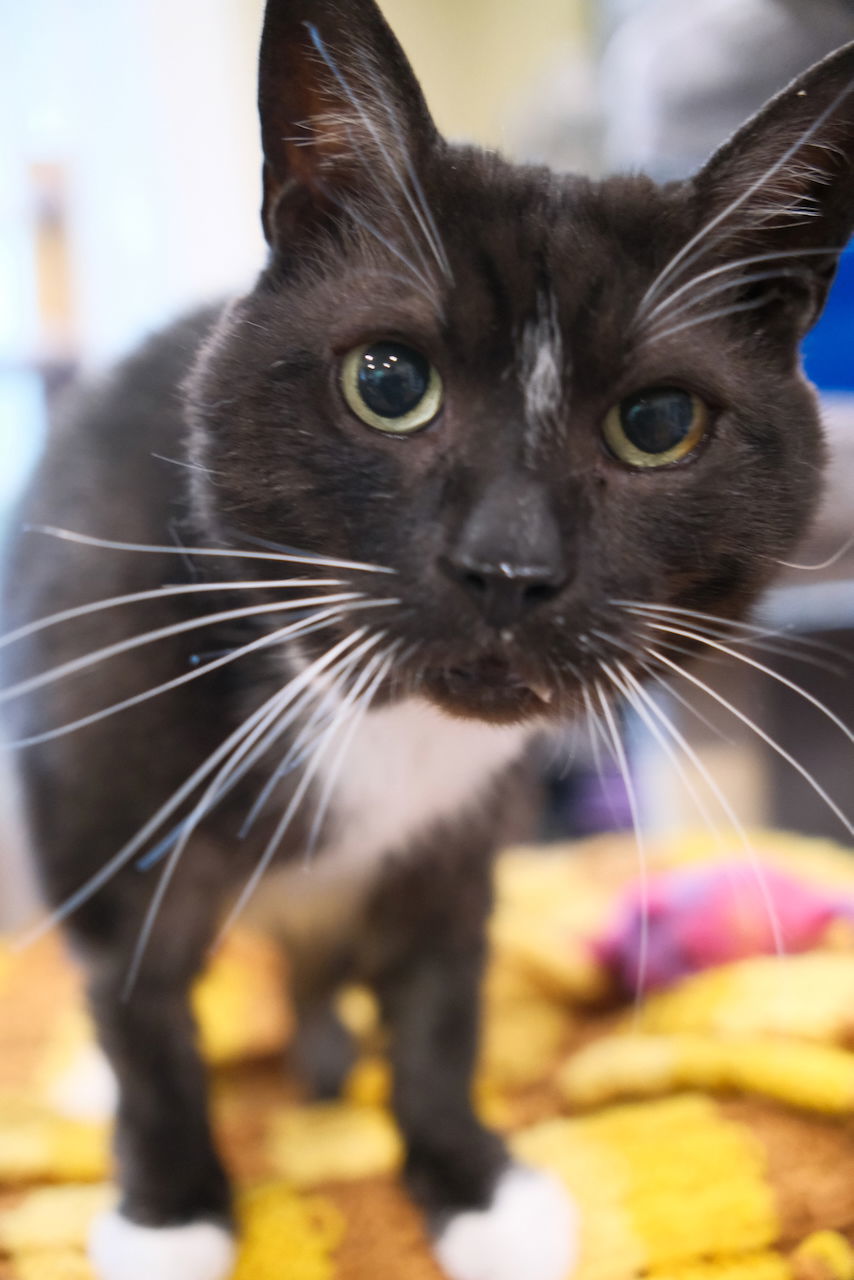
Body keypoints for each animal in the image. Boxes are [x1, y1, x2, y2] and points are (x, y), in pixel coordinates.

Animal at [5, 2, 854, 1280]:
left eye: (658, 423)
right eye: (388, 380)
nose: (508, 565)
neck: (381, 723)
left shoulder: (456, 844)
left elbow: (439, 1005)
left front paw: (467, 1179)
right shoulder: (101, 782)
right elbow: (140, 1002)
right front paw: (168, 1208)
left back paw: (323, 1065)